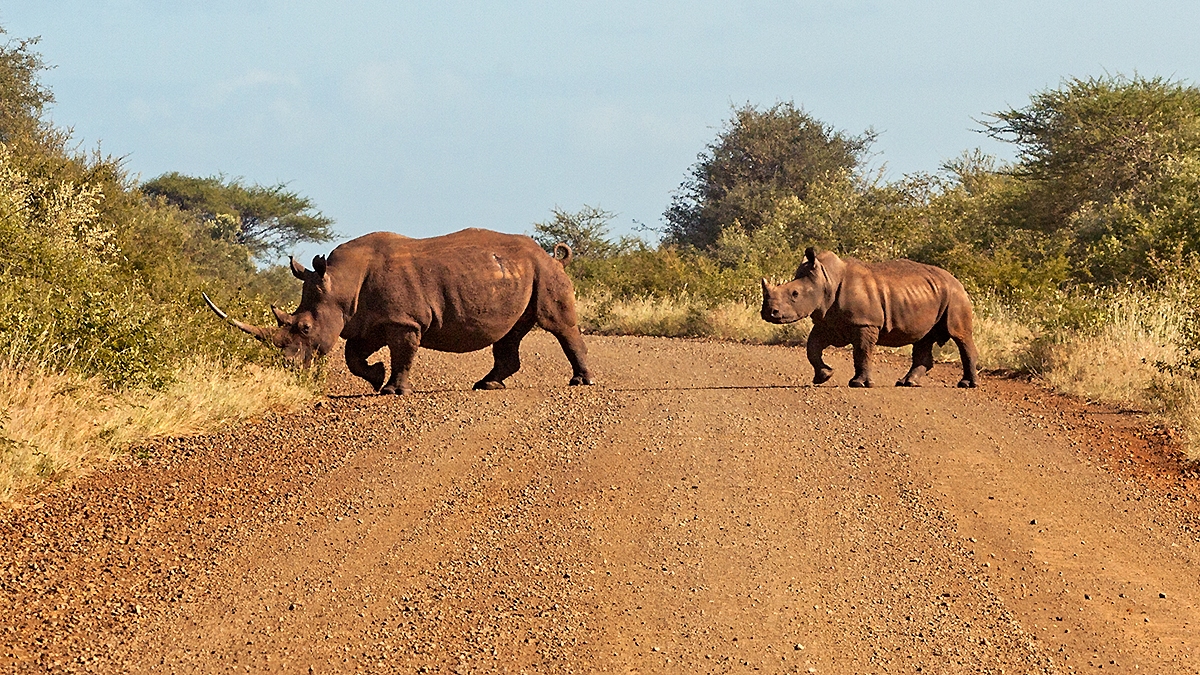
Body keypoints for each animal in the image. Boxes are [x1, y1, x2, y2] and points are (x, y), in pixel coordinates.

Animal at [204, 228, 594, 394]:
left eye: (303, 329)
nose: (287, 367)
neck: (340, 284)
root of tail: (551, 254)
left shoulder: (405, 321)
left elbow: (403, 354)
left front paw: (392, 390)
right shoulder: (366, 320)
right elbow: (354, 357)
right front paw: (376, 378)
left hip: (544, 272)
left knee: (557, 324)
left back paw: (581, 383)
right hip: (518, 273)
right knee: (510, 333)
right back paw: (487, 385)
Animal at [760, 247, 979, 388]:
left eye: (795, 294)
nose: (768, 313)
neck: (826, 279)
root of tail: (957, 280)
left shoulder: (865, 323)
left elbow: (862, 351)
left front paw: (858, 384)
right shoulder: (829, 322)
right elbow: (812, 348)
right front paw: (824, 376)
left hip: (955, 296)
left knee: (960, 335)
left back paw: (966, 385)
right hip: (931, 295)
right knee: (923, 338)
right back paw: (907, 383)